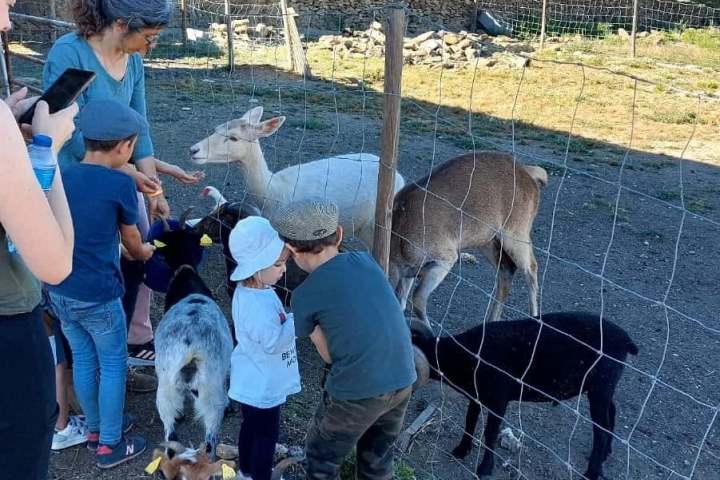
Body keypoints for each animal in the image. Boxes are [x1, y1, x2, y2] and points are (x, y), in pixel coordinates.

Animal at [152, 215, 234, 457]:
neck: (186, 276)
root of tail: (192, 350)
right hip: (210, 394)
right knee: (207, 442)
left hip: (167, 389)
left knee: (172, 436)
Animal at [189, 106, 405, 248]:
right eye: (217, 128)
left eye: (233, 138)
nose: (193, 150)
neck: (274, 191)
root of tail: (400, 178)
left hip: (376, 226)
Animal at [390, 151, 548, 324]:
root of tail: (529, 172)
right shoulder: (409, 272)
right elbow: (402, 299)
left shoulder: (446, 256)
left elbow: (417, 298)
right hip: (487, 239)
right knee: (507, 269)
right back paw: (491, 320)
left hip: (517, 231)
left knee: (531, 267)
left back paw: (535, 317)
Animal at [411, 312, 639, 480]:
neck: (464, 355)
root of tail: (626, 340)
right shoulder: (476, 395)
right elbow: (470, 421)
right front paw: (461, 449)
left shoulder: (498, 399)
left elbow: (490, 433)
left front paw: (485, 469)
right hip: (603, 385)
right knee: (611, 413)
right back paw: (605, 453)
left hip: (601, 383)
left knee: (600, 430)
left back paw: (592, 472)